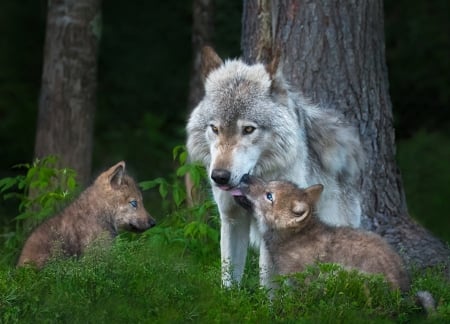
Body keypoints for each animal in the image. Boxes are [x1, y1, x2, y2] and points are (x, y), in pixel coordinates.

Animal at [186, 46, 366, 288]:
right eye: (215, 128)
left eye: (248, 129)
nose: (220, 177)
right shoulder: (232, 219)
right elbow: (228, 280)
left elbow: (267, 285)